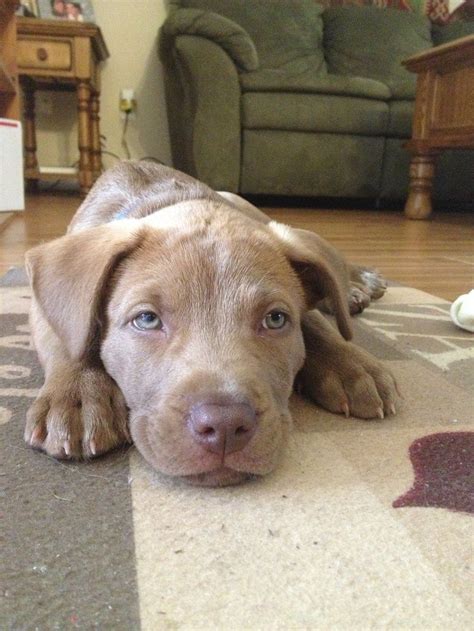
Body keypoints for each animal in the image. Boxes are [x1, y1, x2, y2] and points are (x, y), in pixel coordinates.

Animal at [24, 160, 398, 486]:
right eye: (147, 319)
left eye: (275, 319)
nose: (225, 426)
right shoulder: (43, 304)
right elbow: (69, 335)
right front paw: (78, 397)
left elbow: (315, 322)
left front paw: (352, 367)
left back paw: (357, 285)